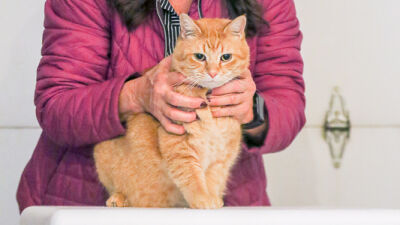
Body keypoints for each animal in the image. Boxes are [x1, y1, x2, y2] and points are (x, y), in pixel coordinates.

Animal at [94, 14, 250, 209]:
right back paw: (118, 198)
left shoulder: (221, 154)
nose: (213, 73)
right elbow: (192, 179)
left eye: (226, 57)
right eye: (200, 56)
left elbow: (213, 179)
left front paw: (213, 199)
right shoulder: (179, 147)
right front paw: (202, 200)